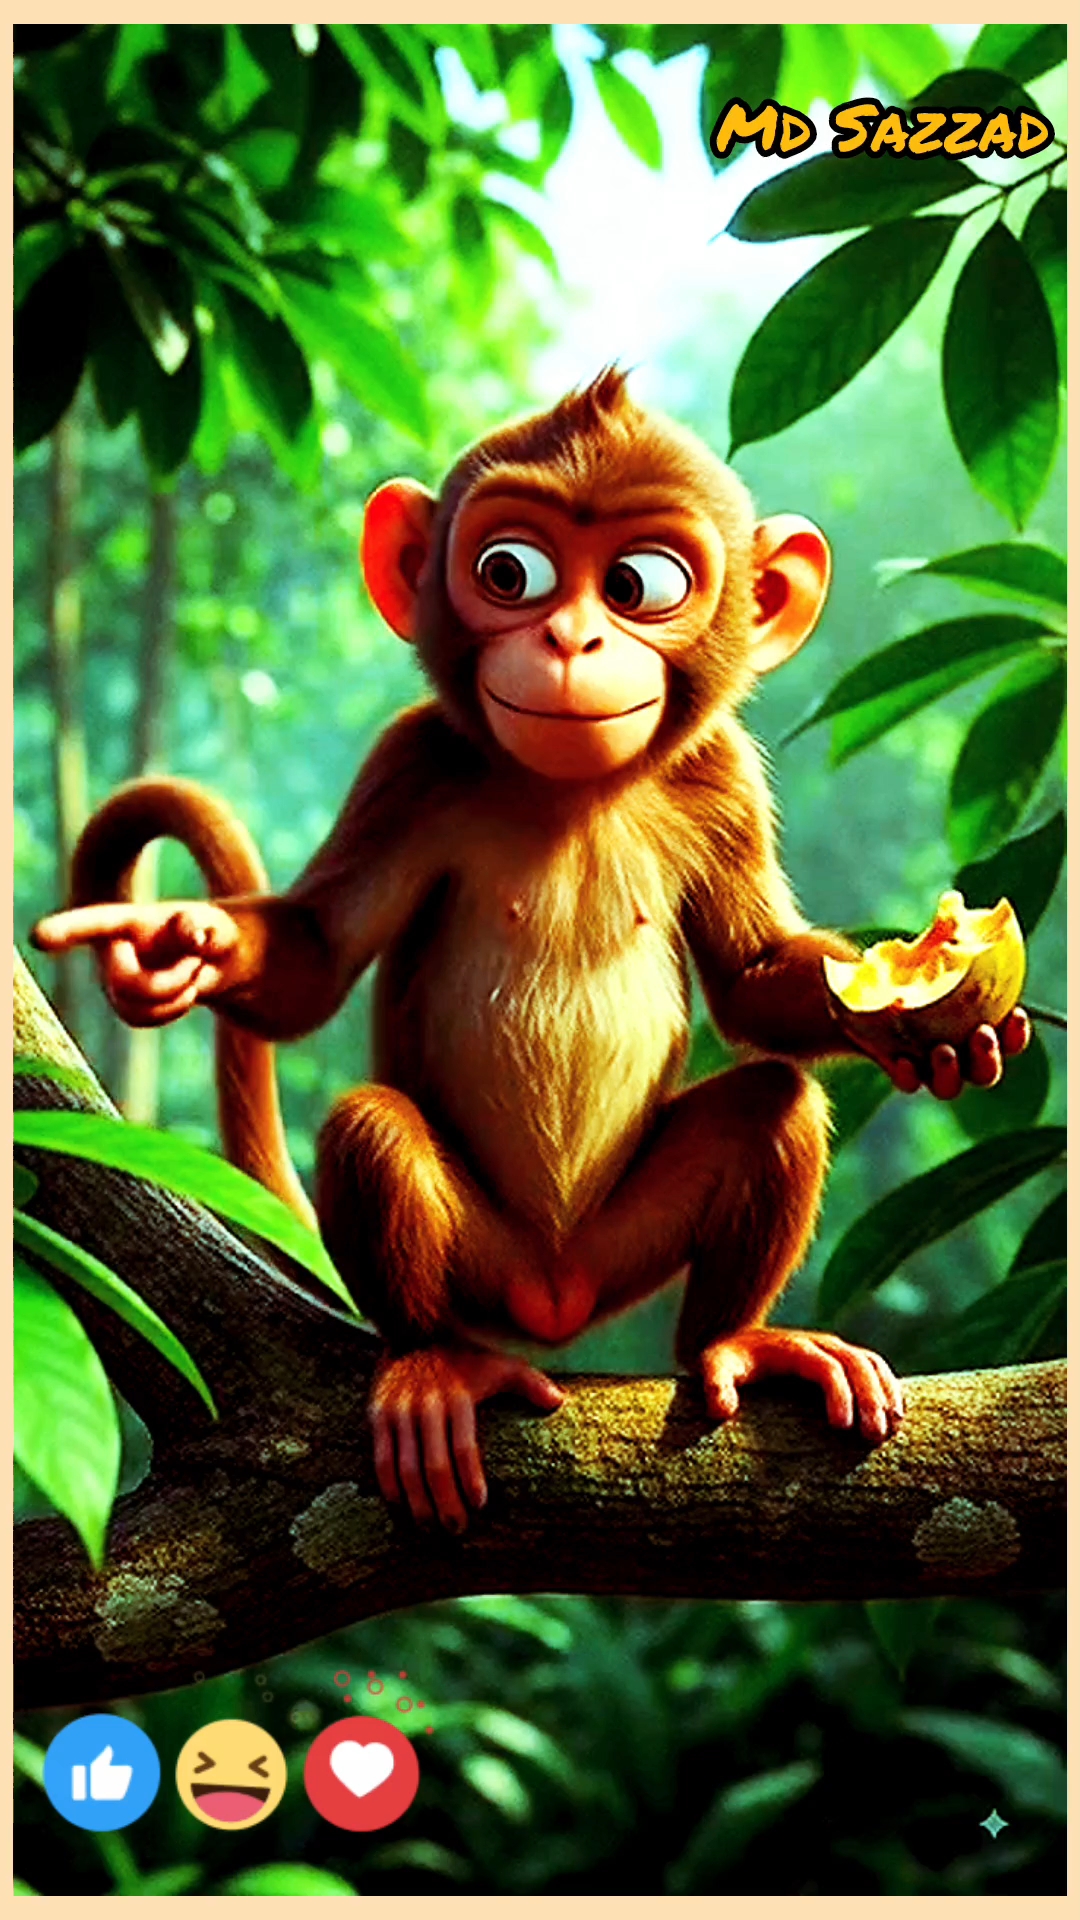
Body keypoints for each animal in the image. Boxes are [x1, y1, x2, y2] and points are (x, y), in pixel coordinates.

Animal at [35, 370, 1029, 1533]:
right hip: (488, 1261)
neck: (572, 791)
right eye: (508, 572)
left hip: (621, 1245)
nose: (570, 643)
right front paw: (180, 944)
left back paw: (734, 1339)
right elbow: (315, 966)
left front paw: (926, 1036)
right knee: (376, 1131)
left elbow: (750, 985)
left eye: (643, 584)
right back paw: (435, 1366)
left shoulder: (723, 775)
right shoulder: (413, 762)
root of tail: (555, 1298)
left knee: (773, 1104)